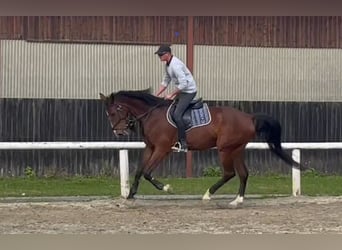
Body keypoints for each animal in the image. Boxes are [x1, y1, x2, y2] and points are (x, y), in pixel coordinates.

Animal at [99, 89, 304, 206]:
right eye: (108, 114)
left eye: (113, 112)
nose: (119, 132)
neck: (152, 114)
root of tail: (249, 117)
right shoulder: (150, 148)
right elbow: (140, 171)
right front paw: (130, 195)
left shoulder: (162, 149)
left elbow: (148, 173)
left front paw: (166, 188)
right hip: (236, 149)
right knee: (243, 173)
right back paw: (237, 200)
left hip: (225, 149)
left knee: (230, 173)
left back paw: (208, 195)